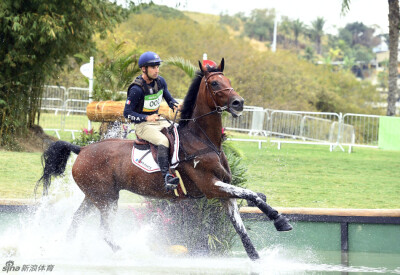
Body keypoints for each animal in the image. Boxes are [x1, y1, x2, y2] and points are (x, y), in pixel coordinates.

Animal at [36, 58, 290, 260]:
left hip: (95, 196)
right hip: (106, 198)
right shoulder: (211, 187)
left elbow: (243, 227)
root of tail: (82, 150)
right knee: (104, 230)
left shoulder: (223, 193)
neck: (203, 140)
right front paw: (279, 219)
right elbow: (252, 195)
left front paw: (258, 256)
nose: (239, 103)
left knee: (76, 222)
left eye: (228, 79)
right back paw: (130, 253)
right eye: (215, 83)